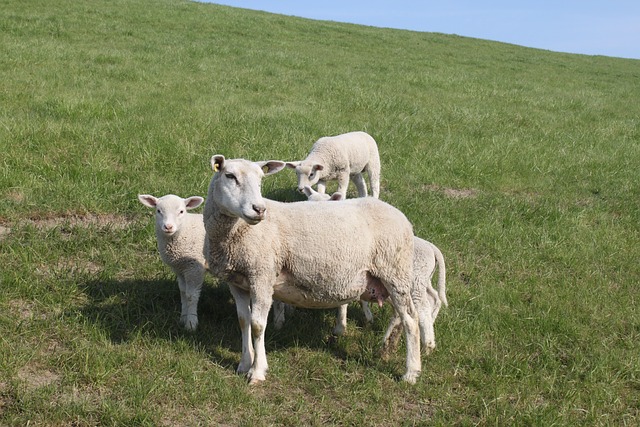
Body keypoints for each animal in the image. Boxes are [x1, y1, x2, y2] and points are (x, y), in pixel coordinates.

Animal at [138, 194, 205, 332]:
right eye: (158, 211)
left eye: (181, 211)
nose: (168, 227)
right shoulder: (181, 269)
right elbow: (183, 293)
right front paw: (183, 318)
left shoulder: (195, 267)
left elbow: (191, 295)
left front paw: (191, 323)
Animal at [201, 155, 420, 384]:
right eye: (230, 176)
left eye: (261, 179)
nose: (259, 209)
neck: (235, 234)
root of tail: (400, 215)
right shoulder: (237, 281)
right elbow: (244, 322)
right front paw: (244, 364)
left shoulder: (262, 276)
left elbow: (258, 325)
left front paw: (257, 371)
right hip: (387, 279)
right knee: (400, 317)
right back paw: (388, 348)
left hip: (394, 272)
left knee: (411, 320)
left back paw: (411, 372)